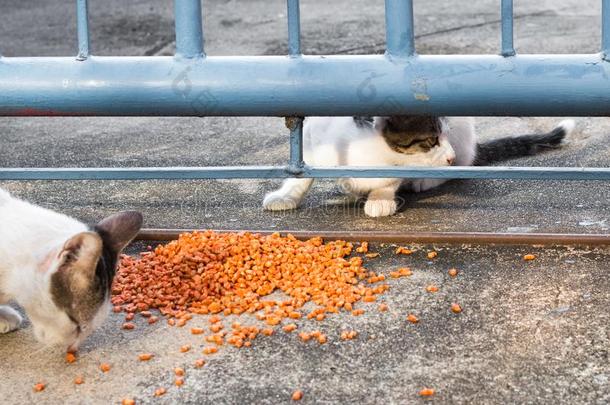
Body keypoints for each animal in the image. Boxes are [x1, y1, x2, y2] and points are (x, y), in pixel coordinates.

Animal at [262, 115, 576, 216]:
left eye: (444, 133)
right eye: (431, 140)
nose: (448, 154)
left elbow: (390, 180)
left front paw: (380, 198)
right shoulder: (314, 138)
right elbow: (301, 171)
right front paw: (286, 195)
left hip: (465, 136)